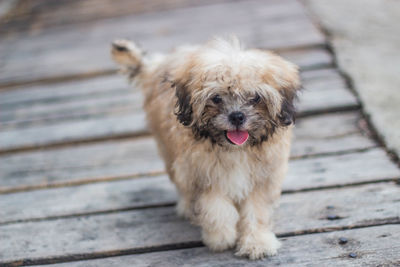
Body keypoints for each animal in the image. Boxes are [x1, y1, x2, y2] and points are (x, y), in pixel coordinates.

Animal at [111, 36, 298, 260]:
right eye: (216, 98)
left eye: (255, 97)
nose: (237, 116)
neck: (236, 150)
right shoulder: (201, 175)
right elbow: (215, 207)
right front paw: (221, 236)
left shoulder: (263, 178)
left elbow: (257, 211)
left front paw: (257, 242)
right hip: (169, 152)